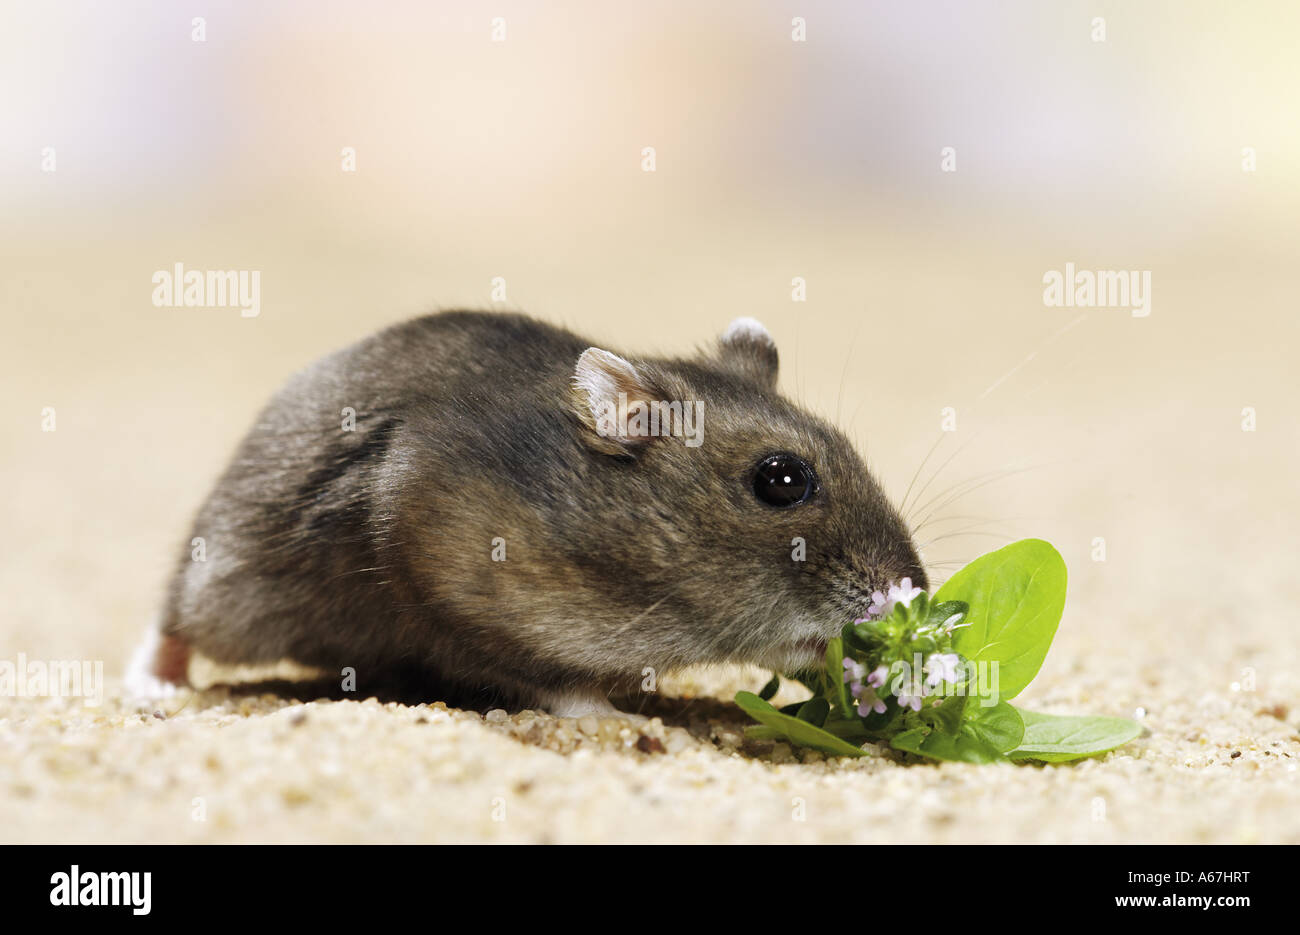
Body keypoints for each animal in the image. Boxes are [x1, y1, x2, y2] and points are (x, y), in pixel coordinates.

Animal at [126, 311, 926, 716]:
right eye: (782, 480)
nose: (911, 593)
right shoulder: (444, 573)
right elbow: (549, 680)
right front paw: (622, 721)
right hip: (235, 583)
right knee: (173, 622)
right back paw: (152, 690)